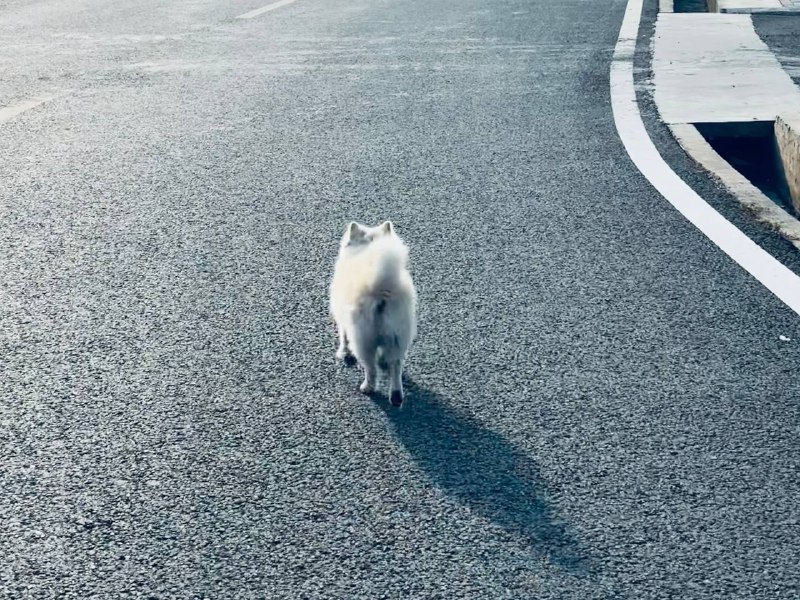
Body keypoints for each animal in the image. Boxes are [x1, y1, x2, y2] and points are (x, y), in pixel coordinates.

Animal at [330, 221, 418, 408]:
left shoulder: (343, 319)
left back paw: (367, 388)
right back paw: (396, 396)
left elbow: (343, 338)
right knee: (396, 366)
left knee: (371, 368)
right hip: (399, 336)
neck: (366, 248)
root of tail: (382, 290)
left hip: (363, 339)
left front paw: (343, 354)